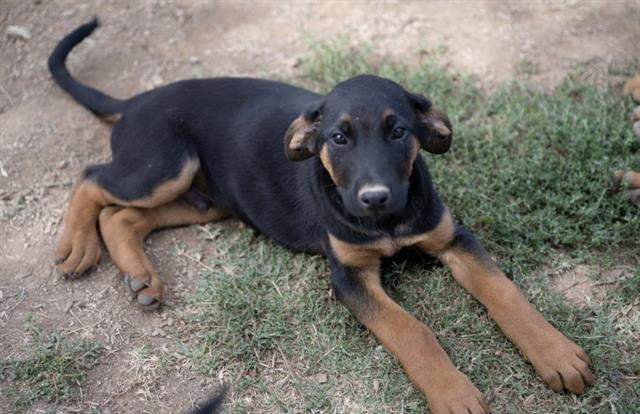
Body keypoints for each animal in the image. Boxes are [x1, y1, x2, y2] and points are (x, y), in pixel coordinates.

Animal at [50, 18, 596, 410]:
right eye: (338, 138)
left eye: (399, 131)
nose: (375, 197)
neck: (386, 224)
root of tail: (134, 101)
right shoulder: (351, 276)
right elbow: (412, 331)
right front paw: (454, 393)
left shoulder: (452, 238)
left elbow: (504, 292)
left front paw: (554, 352)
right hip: (162, 165)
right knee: (92, 178)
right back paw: (75, 248)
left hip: (205, 200)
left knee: (122, 216)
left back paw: (141, 278)